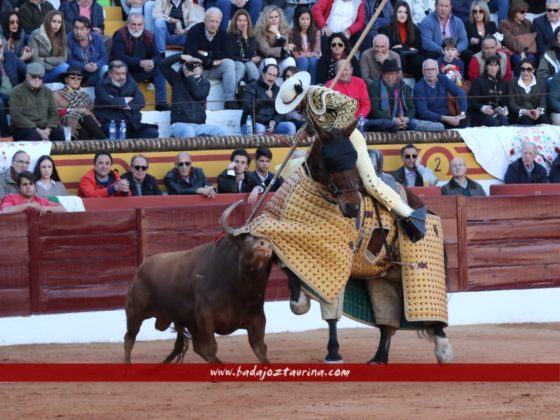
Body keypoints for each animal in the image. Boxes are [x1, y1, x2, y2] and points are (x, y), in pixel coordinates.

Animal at [122, 199, 274, 362]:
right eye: (247, 238)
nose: (265, 245)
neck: (240, 289)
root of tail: (141, 268)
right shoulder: (205, 317)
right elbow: (210, 348)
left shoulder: (257, 319)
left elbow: (260, 349)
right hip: (135, 312)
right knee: (129, 338)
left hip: (186, 321)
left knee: (193, 347)